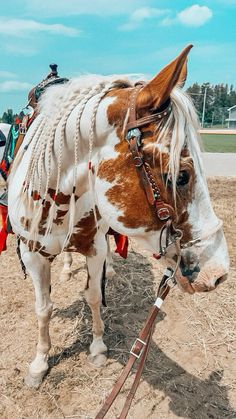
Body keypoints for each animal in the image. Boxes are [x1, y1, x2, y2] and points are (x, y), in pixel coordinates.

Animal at [6, 45, 229, 388]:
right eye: (181, 176)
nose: (219, 272)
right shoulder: (31, 253)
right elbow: (43, 308)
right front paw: (40, 363)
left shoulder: (95, 246)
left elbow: (94, 295)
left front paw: (97, 348)